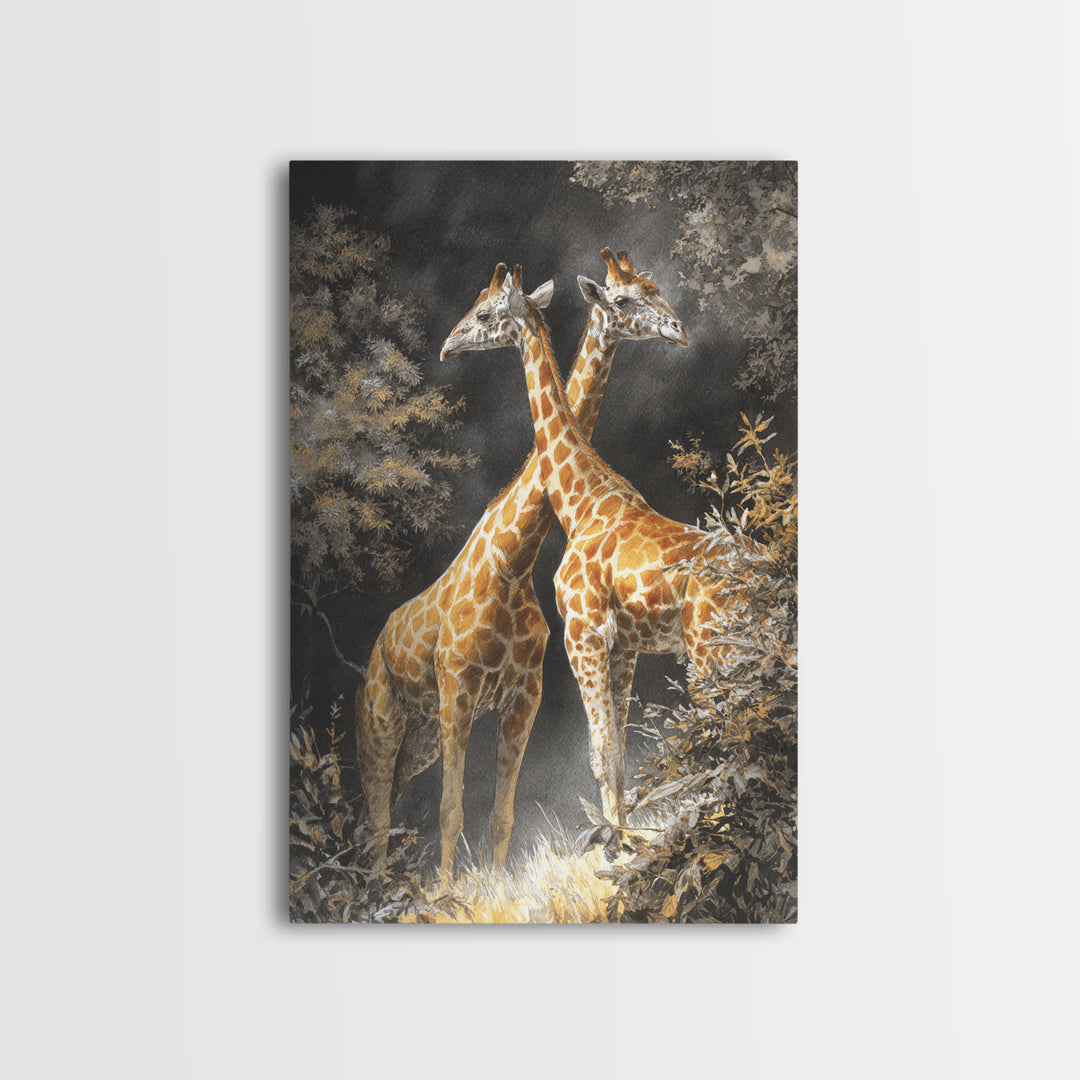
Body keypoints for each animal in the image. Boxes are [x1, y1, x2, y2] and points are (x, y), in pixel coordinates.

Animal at [356, 253, 689, 880]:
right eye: (626, 298)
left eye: (655, 288)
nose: (448, 345)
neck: (512, 562)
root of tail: (377, 641)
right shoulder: (460, 693)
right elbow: (454, 811)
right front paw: (451, 893)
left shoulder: (526, 692)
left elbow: (505, 812)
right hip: (385, 724)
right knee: (378, 818)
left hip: (418, 737)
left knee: (385, 813)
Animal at [441, 263, 754, 841]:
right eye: (629, 297)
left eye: (486, 313)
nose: (449, 344)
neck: (581, 500)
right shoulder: (624, 645)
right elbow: (619, 754)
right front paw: (624, 839)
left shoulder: (582, 633)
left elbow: (600, 751)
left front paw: (613, 846)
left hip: (711, 650)